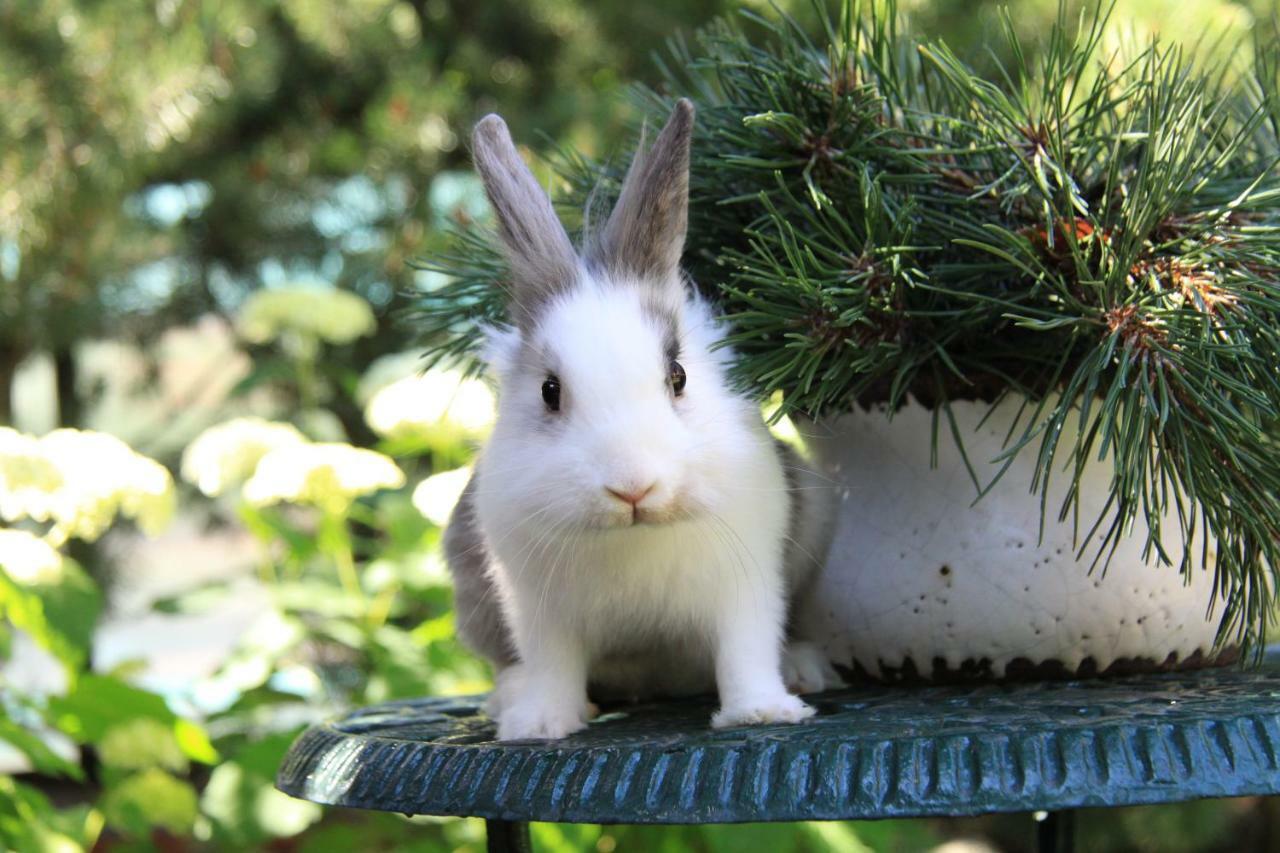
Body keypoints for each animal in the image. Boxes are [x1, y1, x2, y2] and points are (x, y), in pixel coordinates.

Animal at [440, 97, 839, 737]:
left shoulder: (746, 582)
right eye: (550, 391)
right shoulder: (535, 606)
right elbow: (552, 664)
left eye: (678, 376)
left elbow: (746, 650)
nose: (632, 487)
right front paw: (540, 726)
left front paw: (762, 712)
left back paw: (804, 671)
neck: (632, 534)